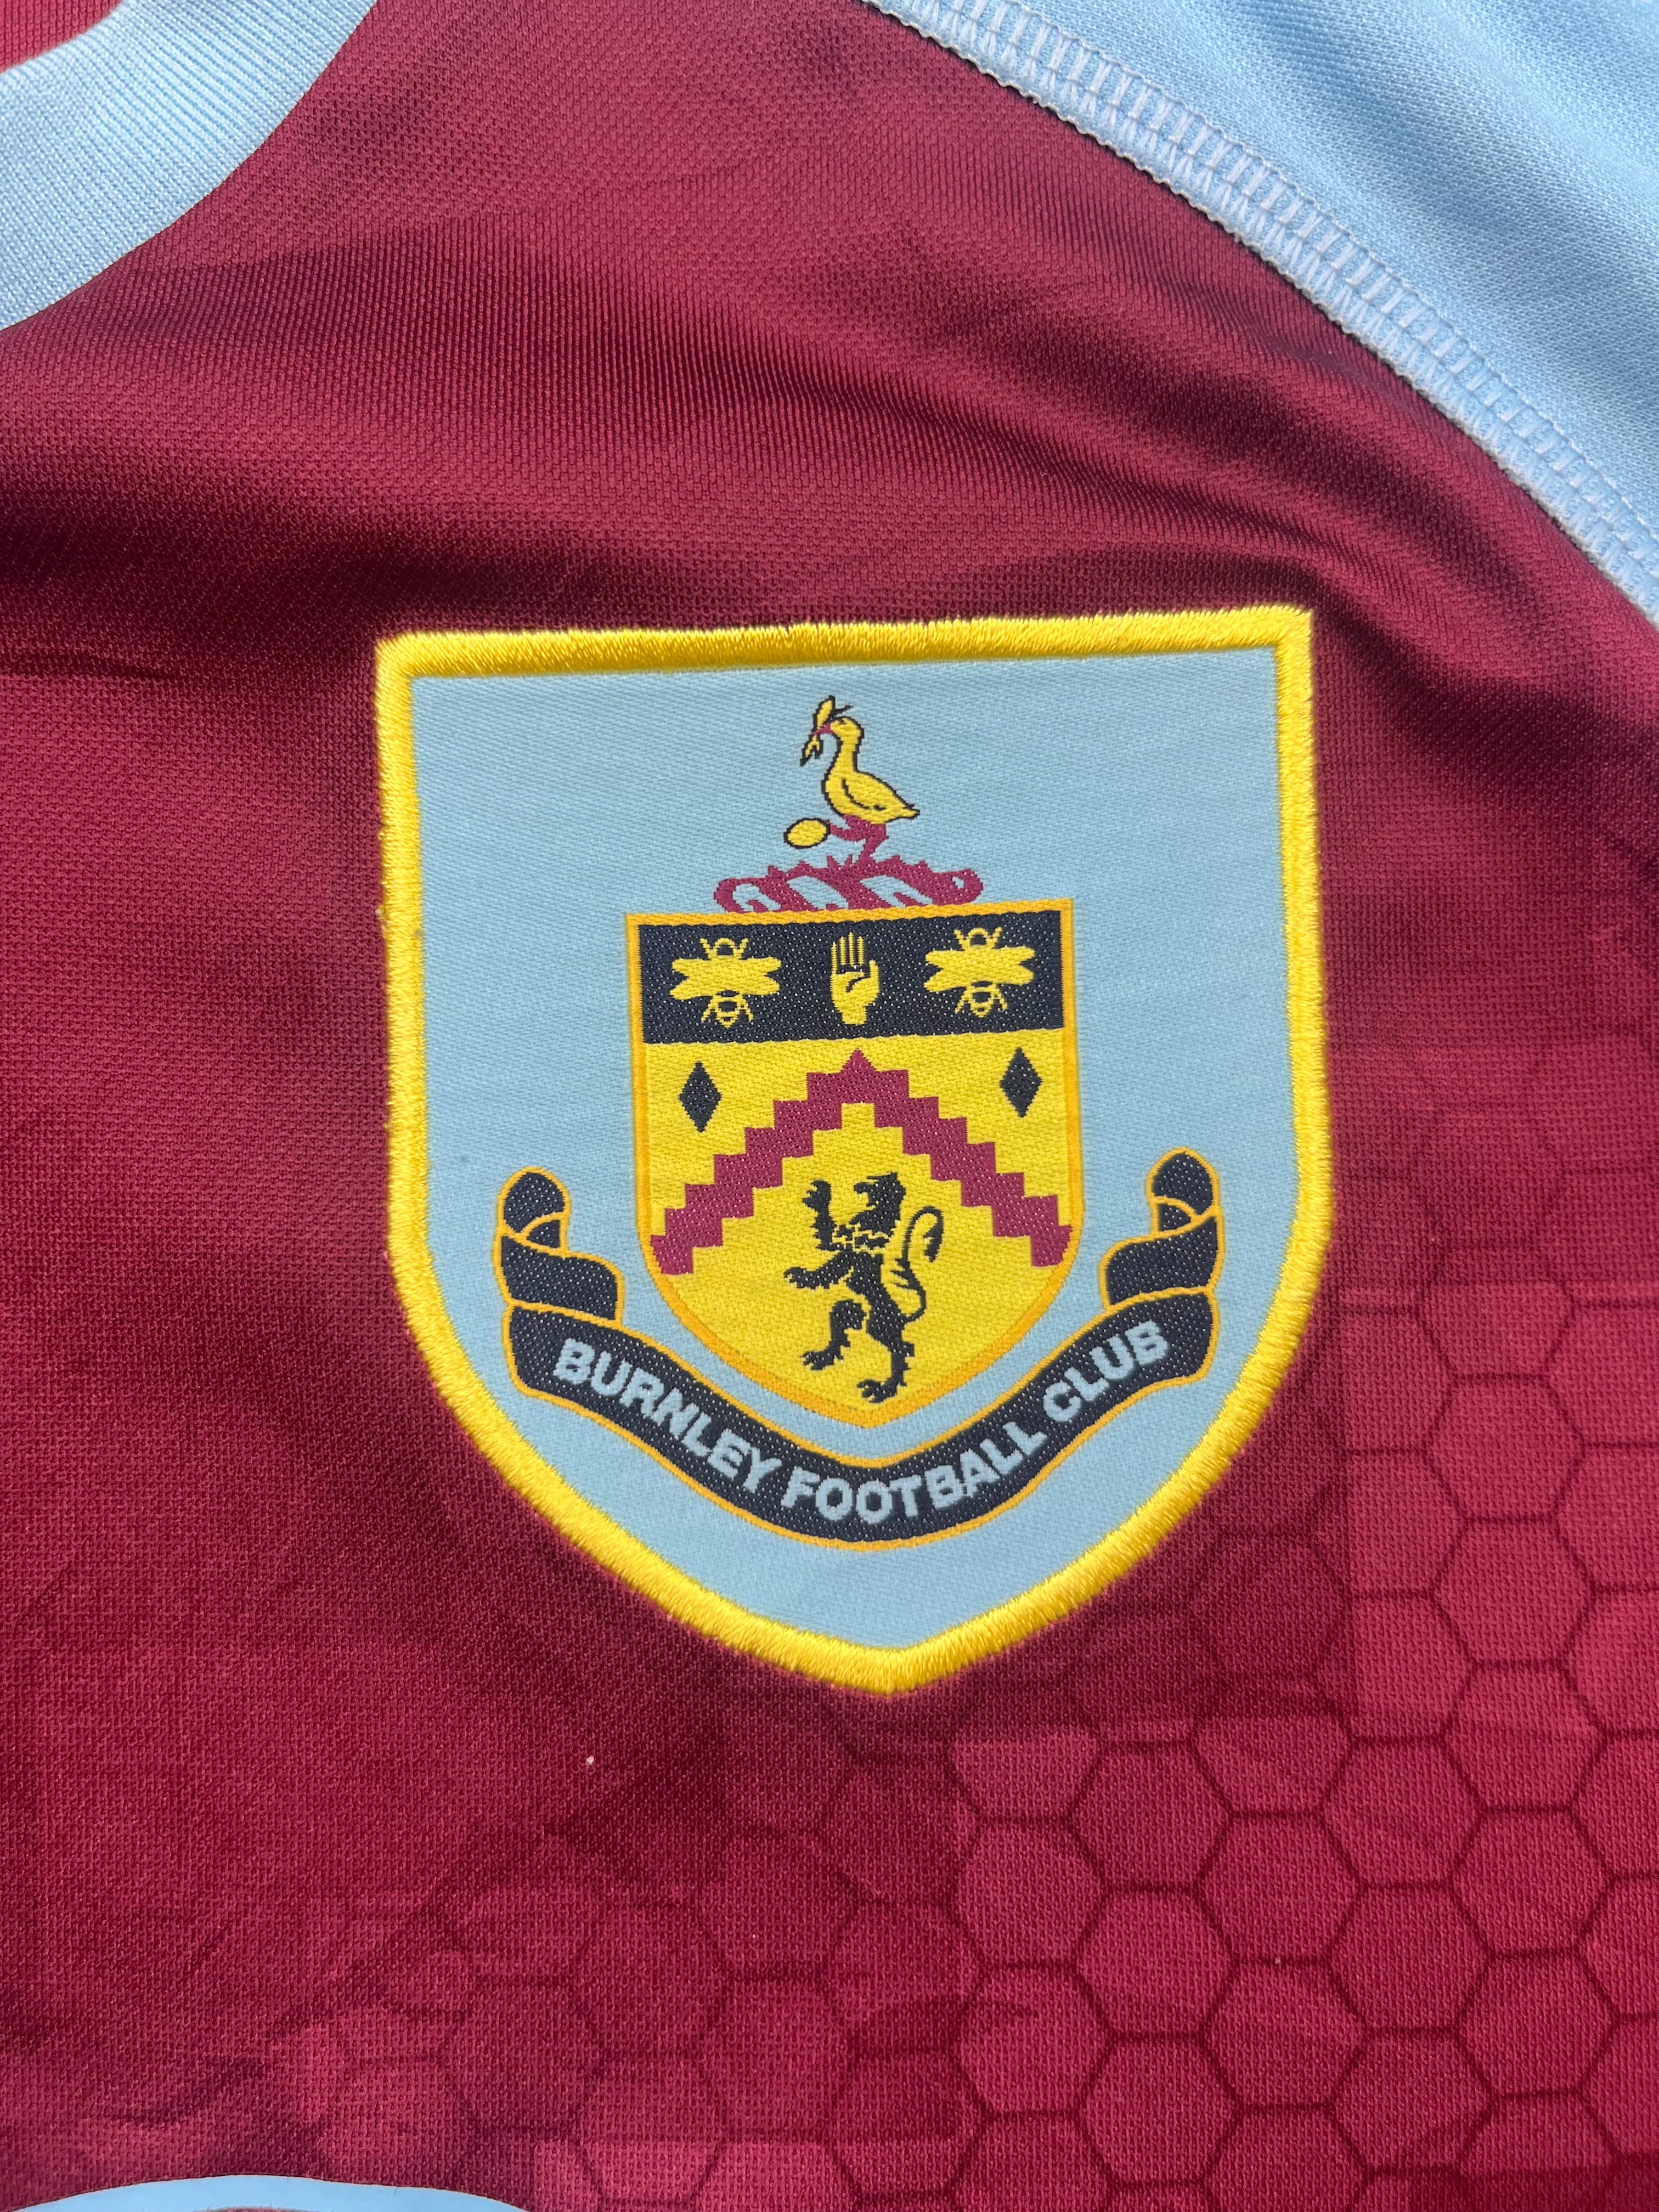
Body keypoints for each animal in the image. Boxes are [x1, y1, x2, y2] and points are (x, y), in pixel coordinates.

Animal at [783, 1171, 945, 1403]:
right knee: (842, 1316)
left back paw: (883, 1387)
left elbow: (830, 1240)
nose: (858, 1185)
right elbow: (828, 1268)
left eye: (875, 1181)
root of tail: (905, 1317)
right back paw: (822, 1357)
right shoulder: (847, 1254)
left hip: (880, 1325)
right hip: (859, 1313)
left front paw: (821, 1197)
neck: (880, 1217)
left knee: (903, 1349)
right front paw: (804, 1277)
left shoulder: (849, 1245)